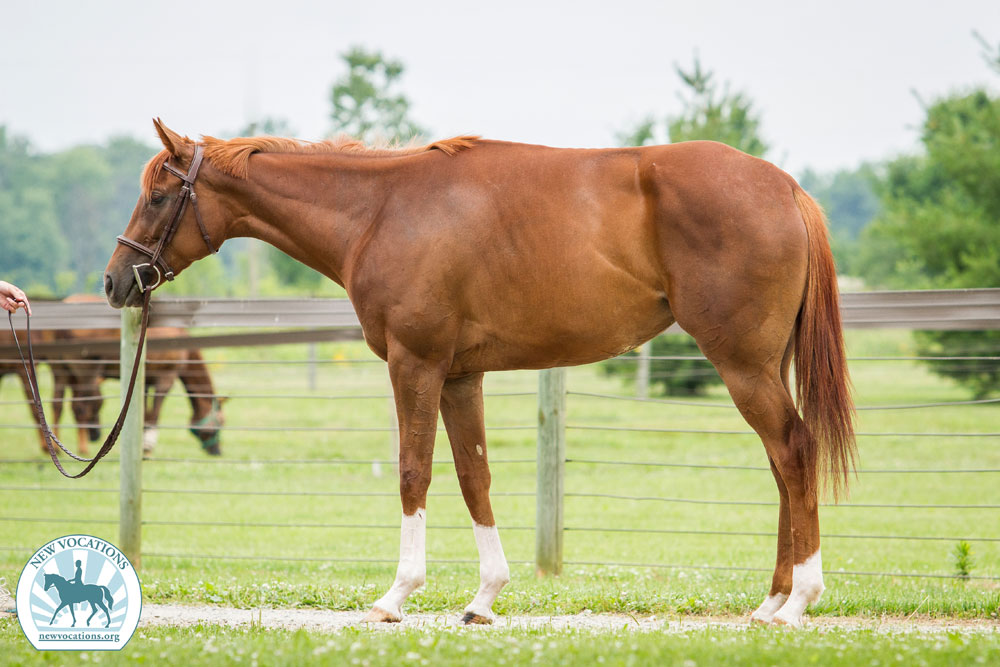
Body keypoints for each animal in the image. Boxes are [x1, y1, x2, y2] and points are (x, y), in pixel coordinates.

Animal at [101, 122, 856, 628]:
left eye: (160, 195)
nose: (115, 281)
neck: (380, 211)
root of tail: (786, 187)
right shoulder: (462, 376)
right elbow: (474, 476)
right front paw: (485, 598)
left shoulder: (415, 364)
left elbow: (414, 471)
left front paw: (396, 596)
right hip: (761, 366)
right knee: (783, 464)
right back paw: (772, 599)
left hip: (743, 365)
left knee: (794, 450)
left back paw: (799, 602)